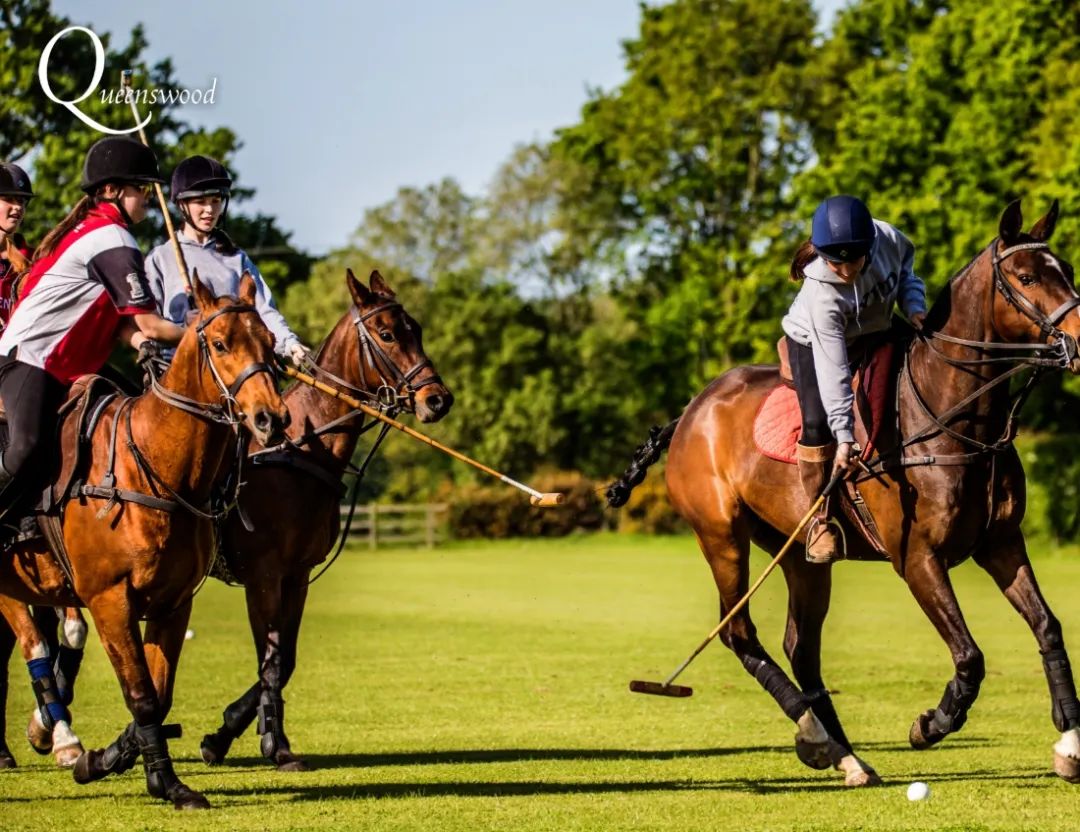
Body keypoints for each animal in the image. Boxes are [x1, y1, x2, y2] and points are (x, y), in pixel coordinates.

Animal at [0, 272, 289, 803]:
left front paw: (109, 760)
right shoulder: (109, 599)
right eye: (220, 343)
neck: (153, 465)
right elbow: (141, 694)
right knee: (32, 642)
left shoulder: (173, 602)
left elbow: (160, 692)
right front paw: (163, 781)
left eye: (268, 342)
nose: (271, 418)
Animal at [198, 269, 451, 769]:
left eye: (417, 329)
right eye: (387, 334)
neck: (298, 449)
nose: (438, 399)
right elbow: (270, 660)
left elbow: (285, 659)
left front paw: (236, 732)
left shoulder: (296, 575)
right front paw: (269, 743)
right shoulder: (262, 574)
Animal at [609, 200, 1080, 786]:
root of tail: (691, 411)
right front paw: (929, 725)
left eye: (1066, 267)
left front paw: (1070, 744)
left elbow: (1048, 626)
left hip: (796, 553)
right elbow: (970, 656)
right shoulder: (917, 557)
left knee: (799, 646)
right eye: (1027, 277)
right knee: (739, 632)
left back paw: (843, 753)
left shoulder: (1001, 543)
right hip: (720, 535)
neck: (954, 417)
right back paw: (818, 738)